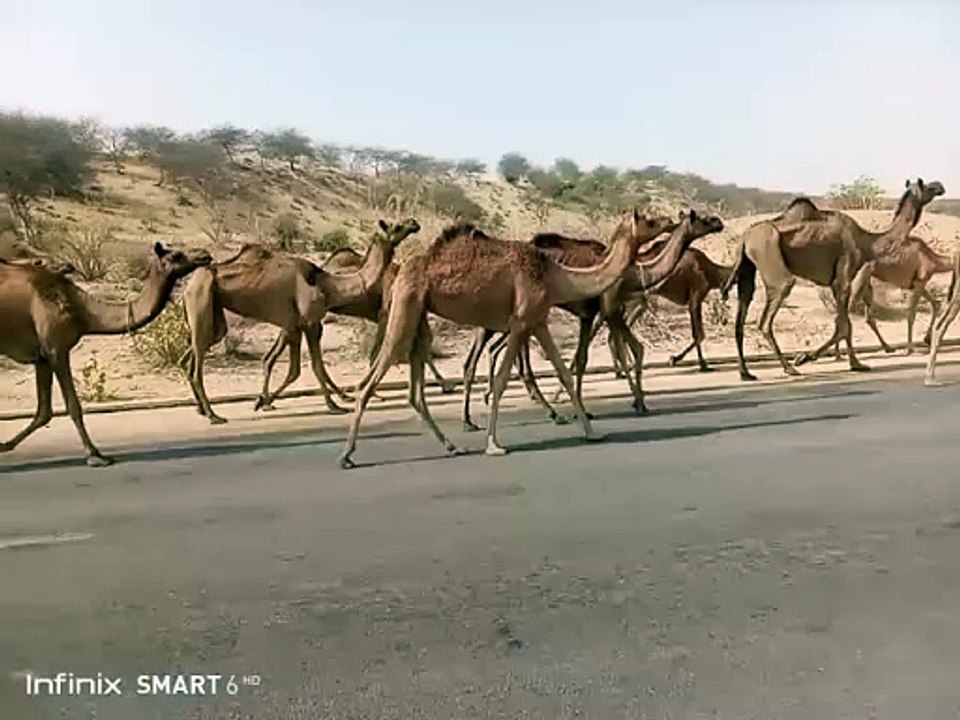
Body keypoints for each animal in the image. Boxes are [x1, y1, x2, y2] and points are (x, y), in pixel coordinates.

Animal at [0, 242, 213, 466]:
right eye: (176, 256)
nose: (204, 255)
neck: (81, 311)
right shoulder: (56, 349)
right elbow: (73, 406)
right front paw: (95, 455)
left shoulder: (41, 357)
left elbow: (44, 412)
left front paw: (5, 445)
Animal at [179, 218, 421, 424]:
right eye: (396, 226)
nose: (414, 223)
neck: (329, 285)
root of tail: (190, 284)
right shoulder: (310, 323)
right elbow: (313, 367)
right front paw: (333, 406)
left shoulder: (295, 325)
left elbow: (297, 369)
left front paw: (263, 400)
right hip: (200, 300)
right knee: (197, 366)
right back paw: (213, 415)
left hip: (213, 314)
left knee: (195, 354)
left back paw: (203, 409)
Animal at [337, 210, 675, 469]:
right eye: (648, 219)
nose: (670, 220)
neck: (557, 275)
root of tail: (400, 271)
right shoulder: (520, 322)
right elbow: (501, 379)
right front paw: (494, 444)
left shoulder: (538, 321)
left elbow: (563, 373)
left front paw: (592, 432)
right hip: (405, 307)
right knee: (370, 381)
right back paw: (347, 456)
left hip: (418, 316)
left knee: (414, 391)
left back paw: (452, 446)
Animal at [460, 210, 725, 429]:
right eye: (702, 218)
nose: (719, 222)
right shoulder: (609, 309)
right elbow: (628, 350)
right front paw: (636, 401)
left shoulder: (592, 314)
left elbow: (585, 357)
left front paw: (590, 408)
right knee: (497, 358)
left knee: (493, 355)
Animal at [722, 178, 945, 381]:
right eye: (925, 185)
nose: (940, 186)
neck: (868, 243)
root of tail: (745, 238)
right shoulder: (843, 278)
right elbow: (845, 326)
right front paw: (806, 357)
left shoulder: (833, 283)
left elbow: (844, 325)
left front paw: (854, 363)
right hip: (769, 255)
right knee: (769, 313)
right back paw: (788, 368)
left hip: (747, 266)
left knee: (742, 309)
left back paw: (746, 373)